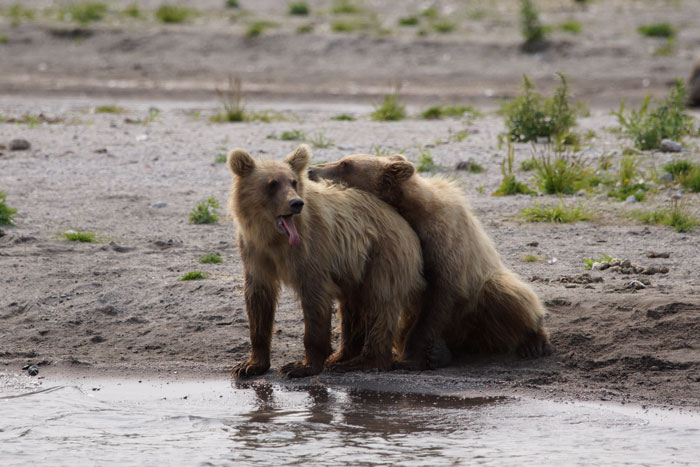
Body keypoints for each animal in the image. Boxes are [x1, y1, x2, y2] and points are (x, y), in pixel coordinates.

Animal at [227, 145, 425, 378]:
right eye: (272, 183)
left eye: (293, 181)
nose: (296, 203)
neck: (274, 237)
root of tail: (404, 222)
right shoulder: (254, 253)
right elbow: (258, 300)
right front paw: (249, 365)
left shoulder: (312, 250)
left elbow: (315, 303)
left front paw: (300, 366)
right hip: (356, 269)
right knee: (352, 308)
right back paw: (343, 356)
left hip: (383, 255)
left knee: (379, 304)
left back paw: (363, 361)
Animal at [308, 153, 552, 370]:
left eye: (345, 164)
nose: (311, 169)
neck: (412, 211)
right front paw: (338, 357)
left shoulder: (444, 242)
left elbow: (440, 296)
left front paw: (409, 359)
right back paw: (440, 354)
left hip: (483, 293)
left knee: (505, 294)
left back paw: (533, 342)